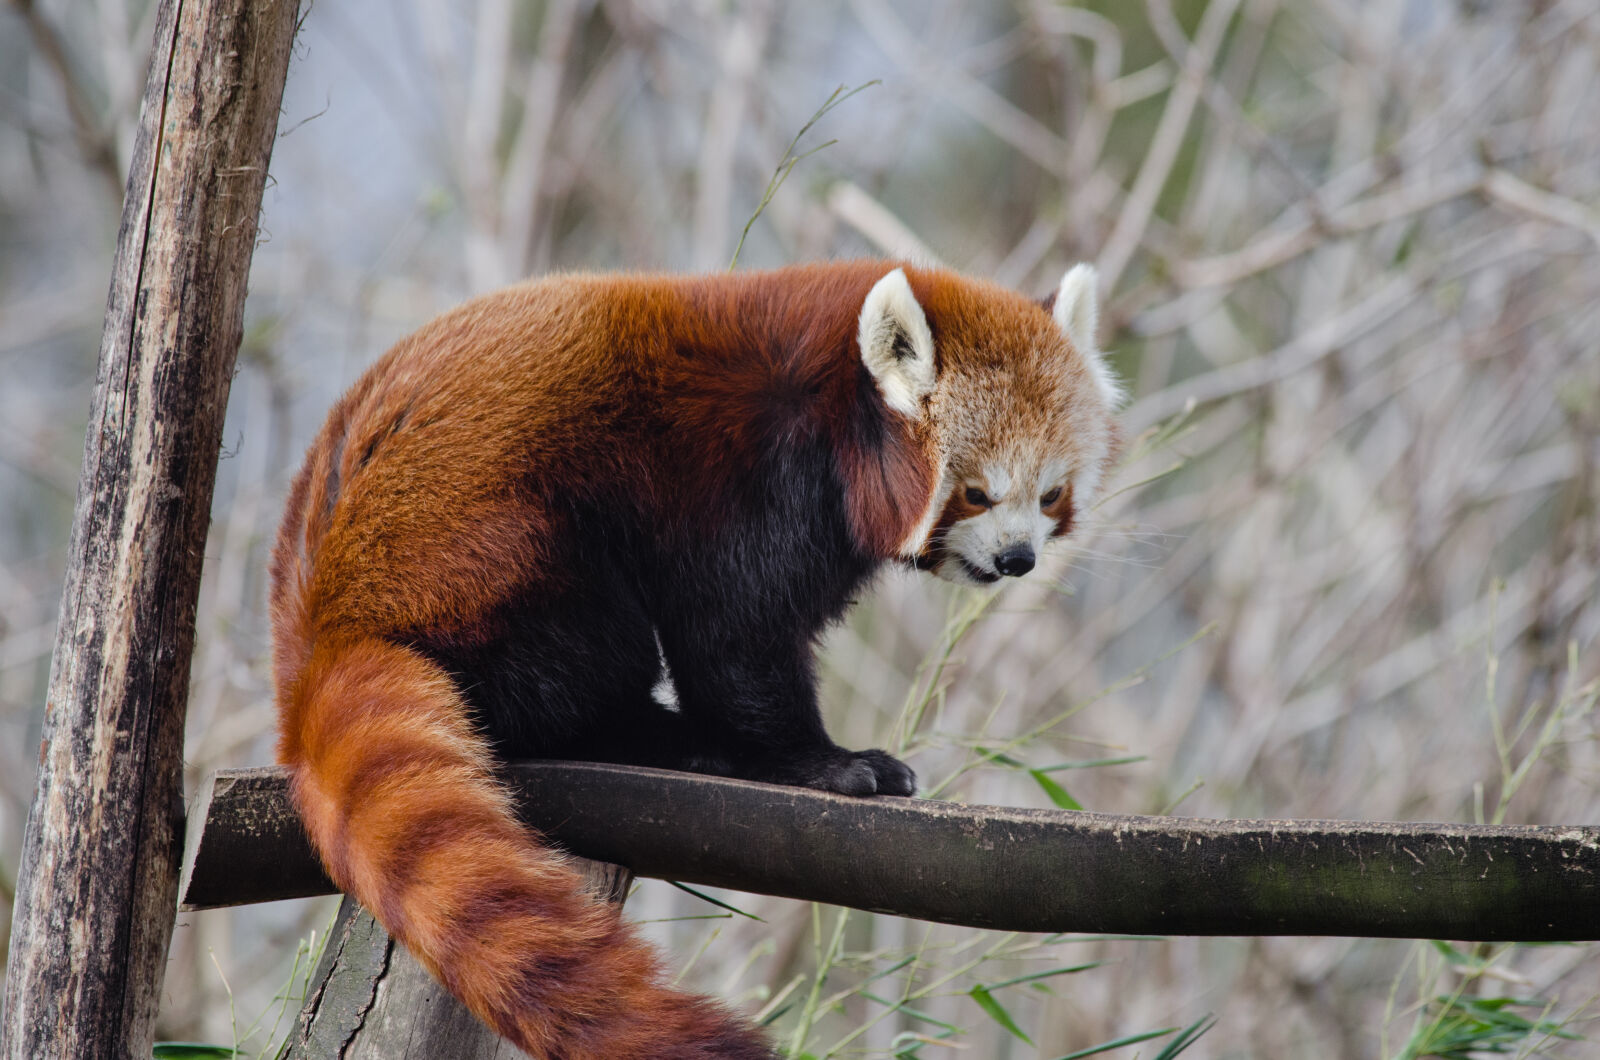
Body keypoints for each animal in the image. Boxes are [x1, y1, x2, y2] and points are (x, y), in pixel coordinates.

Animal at [272, 259, 1126, 1060]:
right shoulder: (752, 475)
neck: (838, 405)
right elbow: (732, 631)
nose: (1017, 559)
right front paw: (827, 763)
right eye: (977, 493)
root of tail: (319, 633)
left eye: (1050, 495)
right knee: (575, 652)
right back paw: (663, 737)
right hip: (497, 542)